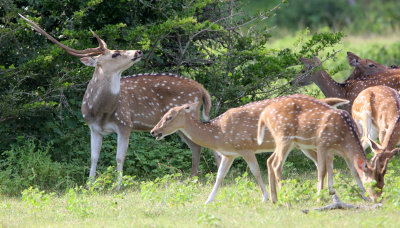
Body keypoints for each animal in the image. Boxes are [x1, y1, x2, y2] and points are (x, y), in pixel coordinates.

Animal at [19, 14, 222, 186]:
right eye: (115, 53)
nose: (139, 51)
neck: (100, 111)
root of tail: (202, 89)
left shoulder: (125, 123)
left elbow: (119, 157)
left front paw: (118, 185)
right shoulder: (92, 127)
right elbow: (93, 156)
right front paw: (89, 185)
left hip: (186, 117)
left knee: (200, 143)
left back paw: (198, 178)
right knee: (199, 144)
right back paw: (198, 177)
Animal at [149, 93, 346, 204]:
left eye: (169, 117)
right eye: (164, 114)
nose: (154, 131)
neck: (218, 134)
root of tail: (324, 101)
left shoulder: (245, 147)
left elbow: (255, 171)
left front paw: (265, 197)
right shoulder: (228, 154)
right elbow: (219, 176)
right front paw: (208, 200)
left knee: (326, 160)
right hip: (302, 144)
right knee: (323, 161)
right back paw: (330, 194)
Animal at [256, 94, 394, 205]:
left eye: (382, 184)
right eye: (373, 184)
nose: (378, 199)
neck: (344, 137)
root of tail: (263, 115)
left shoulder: (340, 152)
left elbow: (353, 171)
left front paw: (363, 196)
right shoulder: (322, 143)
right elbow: (322, 170)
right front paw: (319, 198)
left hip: (284, 141)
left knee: (269, 160)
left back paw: (275, 200)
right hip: (284, 137)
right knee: (276, 165)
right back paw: (287, 201)